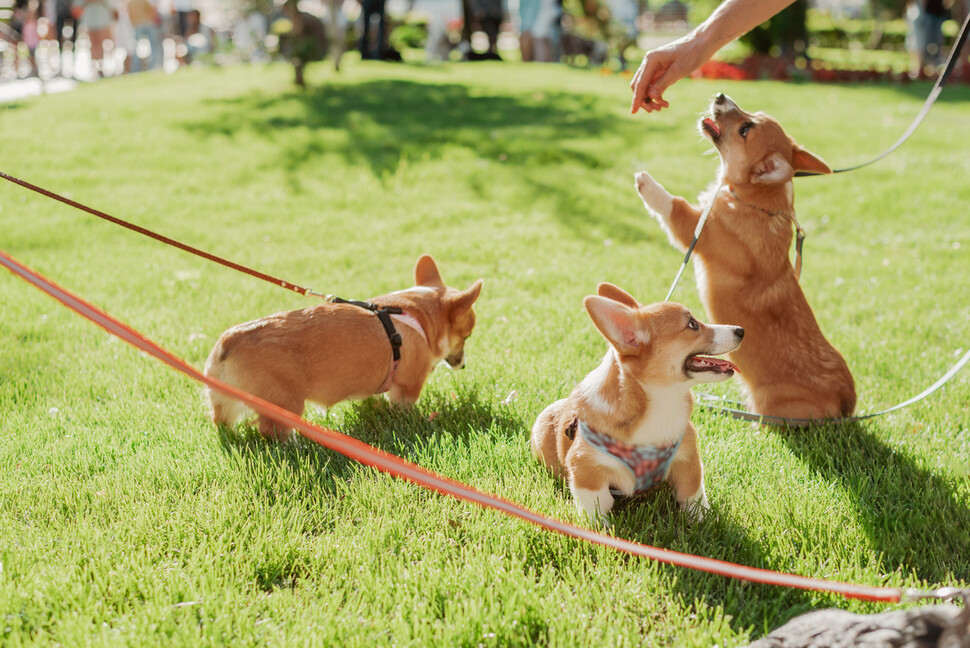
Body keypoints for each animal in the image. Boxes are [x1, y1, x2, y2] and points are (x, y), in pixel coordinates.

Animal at [202, 253, 482, 440]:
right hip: (285, 402)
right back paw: (297, 443)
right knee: (273, 430)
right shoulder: (408, 387)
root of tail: (228, 341)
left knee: (222, 422)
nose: (464, 365)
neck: (417, 314)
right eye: (466, 337)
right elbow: (403, 407)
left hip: (223, 402)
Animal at [528, 284, 740, 520]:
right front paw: (599, 526)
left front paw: (700, 521)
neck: (660, 400)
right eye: (693, 324)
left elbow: (693, 495)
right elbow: (596, 503)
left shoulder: (687, 458)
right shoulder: (585, 466)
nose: (741, 330)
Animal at [636, 93, 856, 422]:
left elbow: (673, 205)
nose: (720, 96)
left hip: (771, 404)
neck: (755, 201)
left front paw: (645, 182)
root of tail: (847, 408)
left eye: (745, 129)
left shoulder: (695, 229)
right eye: (753, 114)